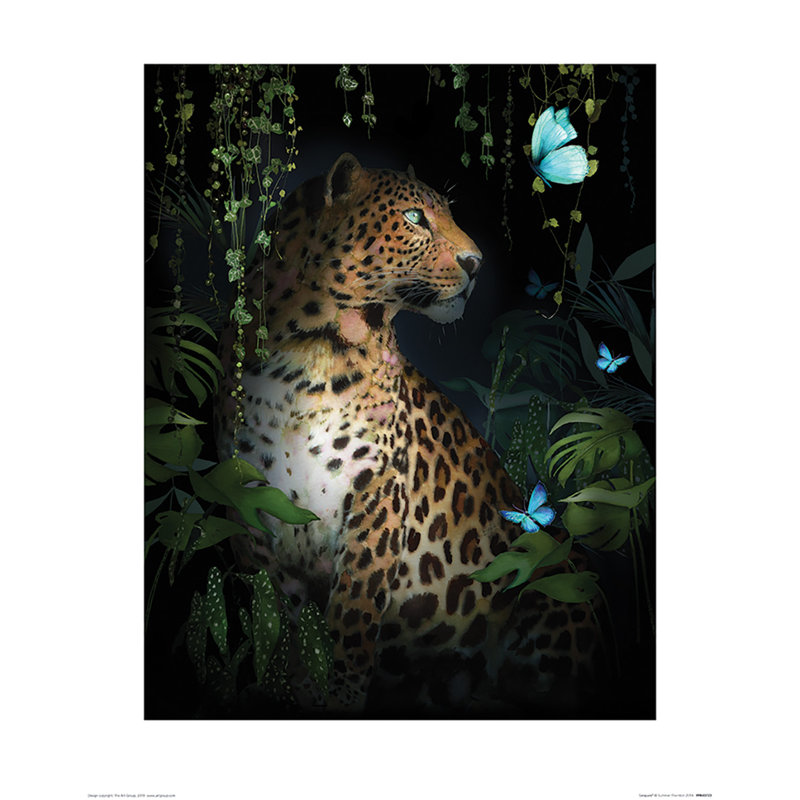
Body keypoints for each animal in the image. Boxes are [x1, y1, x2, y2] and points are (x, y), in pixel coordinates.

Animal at [214, 153, 602, 715]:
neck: (311, 352)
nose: (476, 263)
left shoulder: (376, 494)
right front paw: (290, 690)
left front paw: (342, 697)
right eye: (415, 218)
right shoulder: (247, 505)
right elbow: (279, 621)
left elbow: (350, 618)